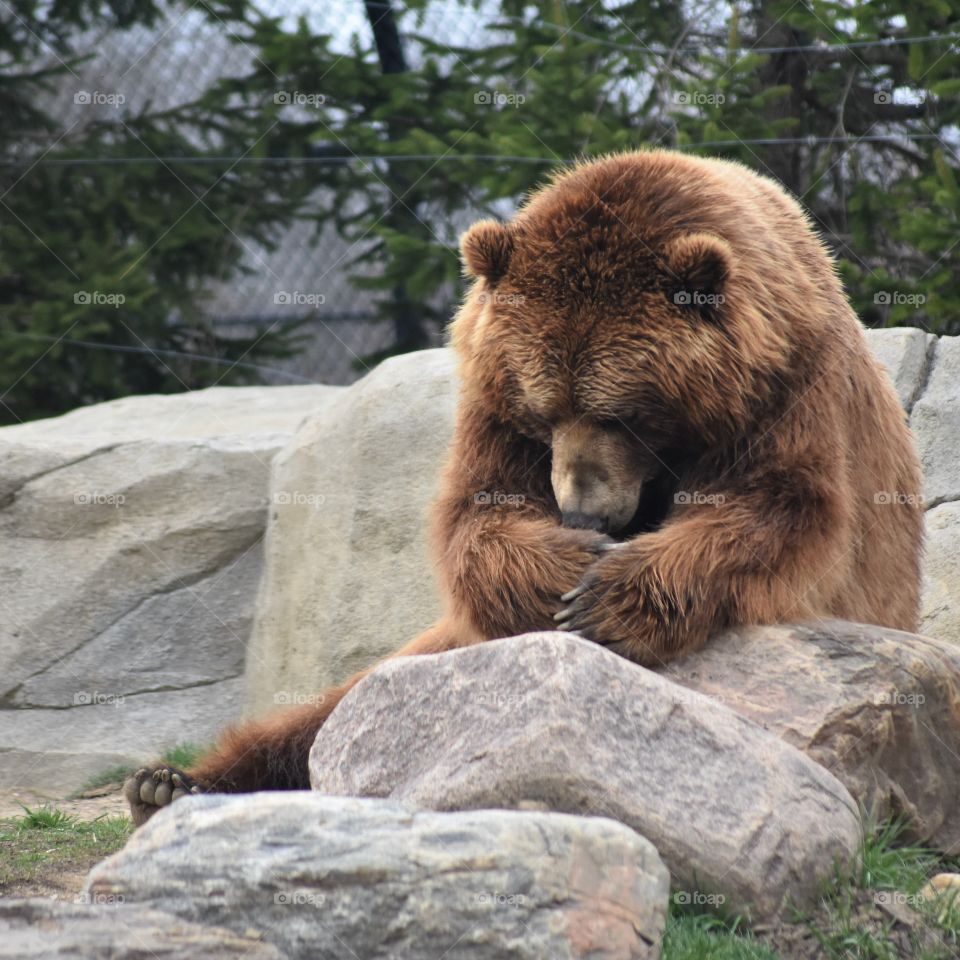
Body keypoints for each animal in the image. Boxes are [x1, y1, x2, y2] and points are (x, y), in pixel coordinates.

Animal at [125, 149, 923, 825]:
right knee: (337, 707)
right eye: (544, 411)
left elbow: (777, 510)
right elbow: (479, 514)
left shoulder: (787, 389)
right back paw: (169, 783)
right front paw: (562, 576)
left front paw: (608, 597)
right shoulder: (492, 407)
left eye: (624, 413)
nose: (584, 511)